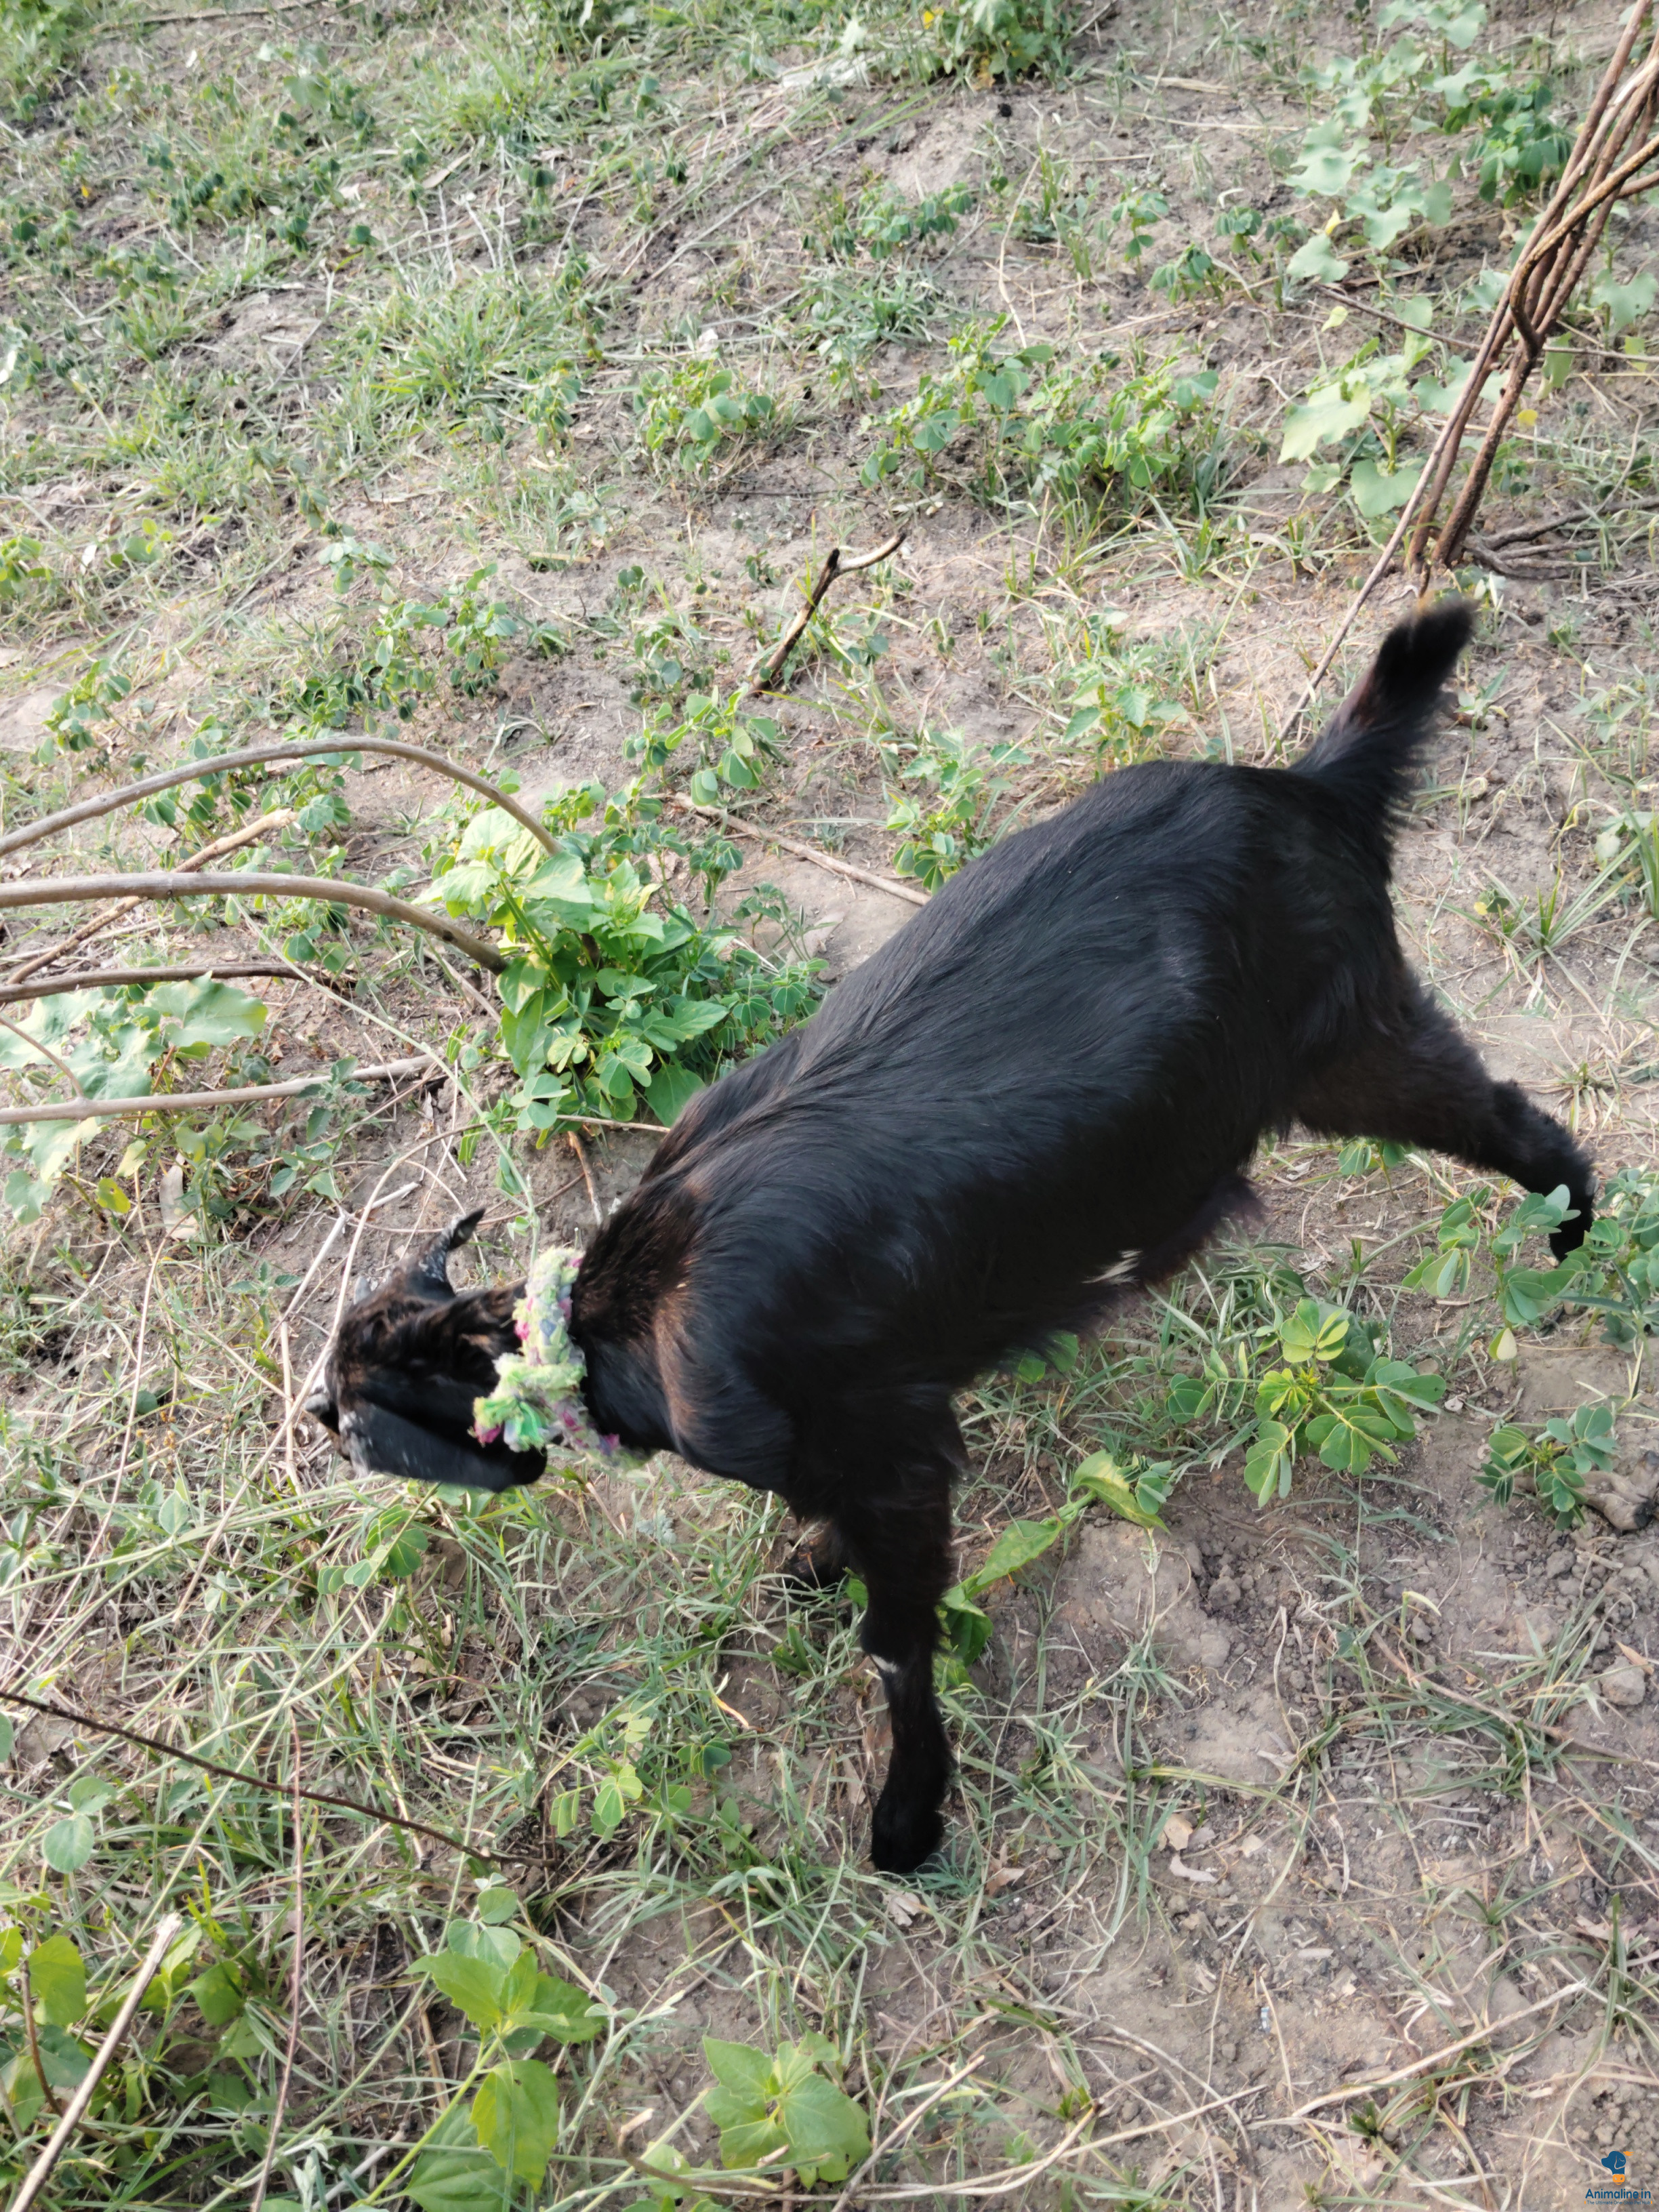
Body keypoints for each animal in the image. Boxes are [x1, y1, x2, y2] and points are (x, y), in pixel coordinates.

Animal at [309, 601, 1593, 1873]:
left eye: (357, 1415)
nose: (317, 1416)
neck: (619, 1321)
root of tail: (1313, 785)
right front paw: (812, 1567)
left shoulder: (897, 1454)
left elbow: (895, 1638)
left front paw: (908, 1814)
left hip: (1353, 1042)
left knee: (1506, 1115)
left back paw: (1573, 1229)